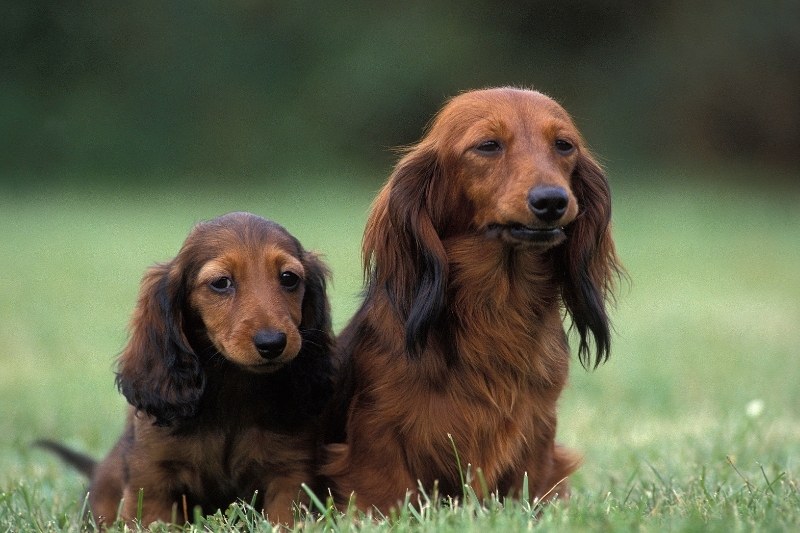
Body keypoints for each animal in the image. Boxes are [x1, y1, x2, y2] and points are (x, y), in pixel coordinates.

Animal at [36, 211, 332, 524]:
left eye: (289, 278)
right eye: (221, 282)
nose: (272, 343)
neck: (232, 393)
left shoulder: (290, 476)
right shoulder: (152, 479)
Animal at [322, 86, 620, 512]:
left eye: (564, 145)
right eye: (487, 145)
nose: (552, 201)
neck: (496, 308)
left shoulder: (537, 432)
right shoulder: (376, 436)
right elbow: (388, 495)